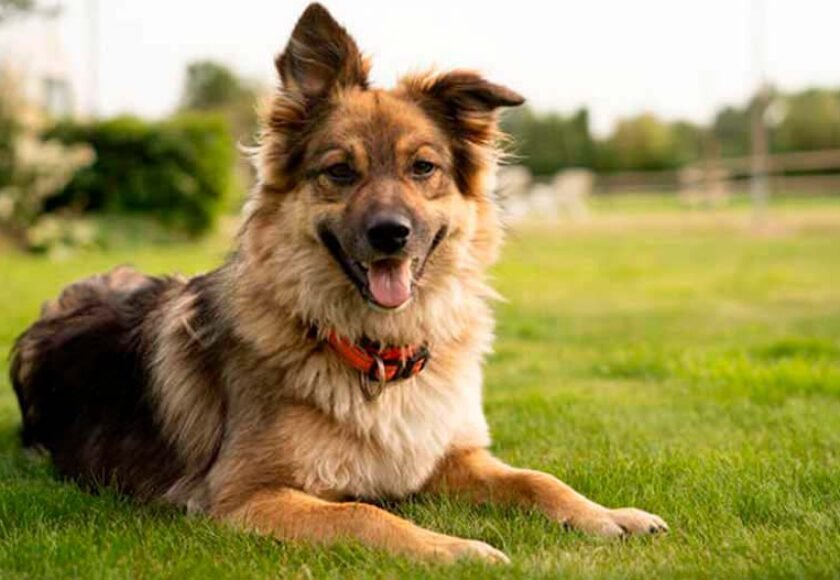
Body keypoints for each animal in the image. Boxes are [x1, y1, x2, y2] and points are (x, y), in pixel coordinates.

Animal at [9, 3, 668, 560]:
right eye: (340, 171)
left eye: (422, 167)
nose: (390, 234)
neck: (372, 350)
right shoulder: (245, 495)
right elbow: (365, 514)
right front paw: (456, 549)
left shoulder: (450, 456)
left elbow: (539, 478)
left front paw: (609, 515)